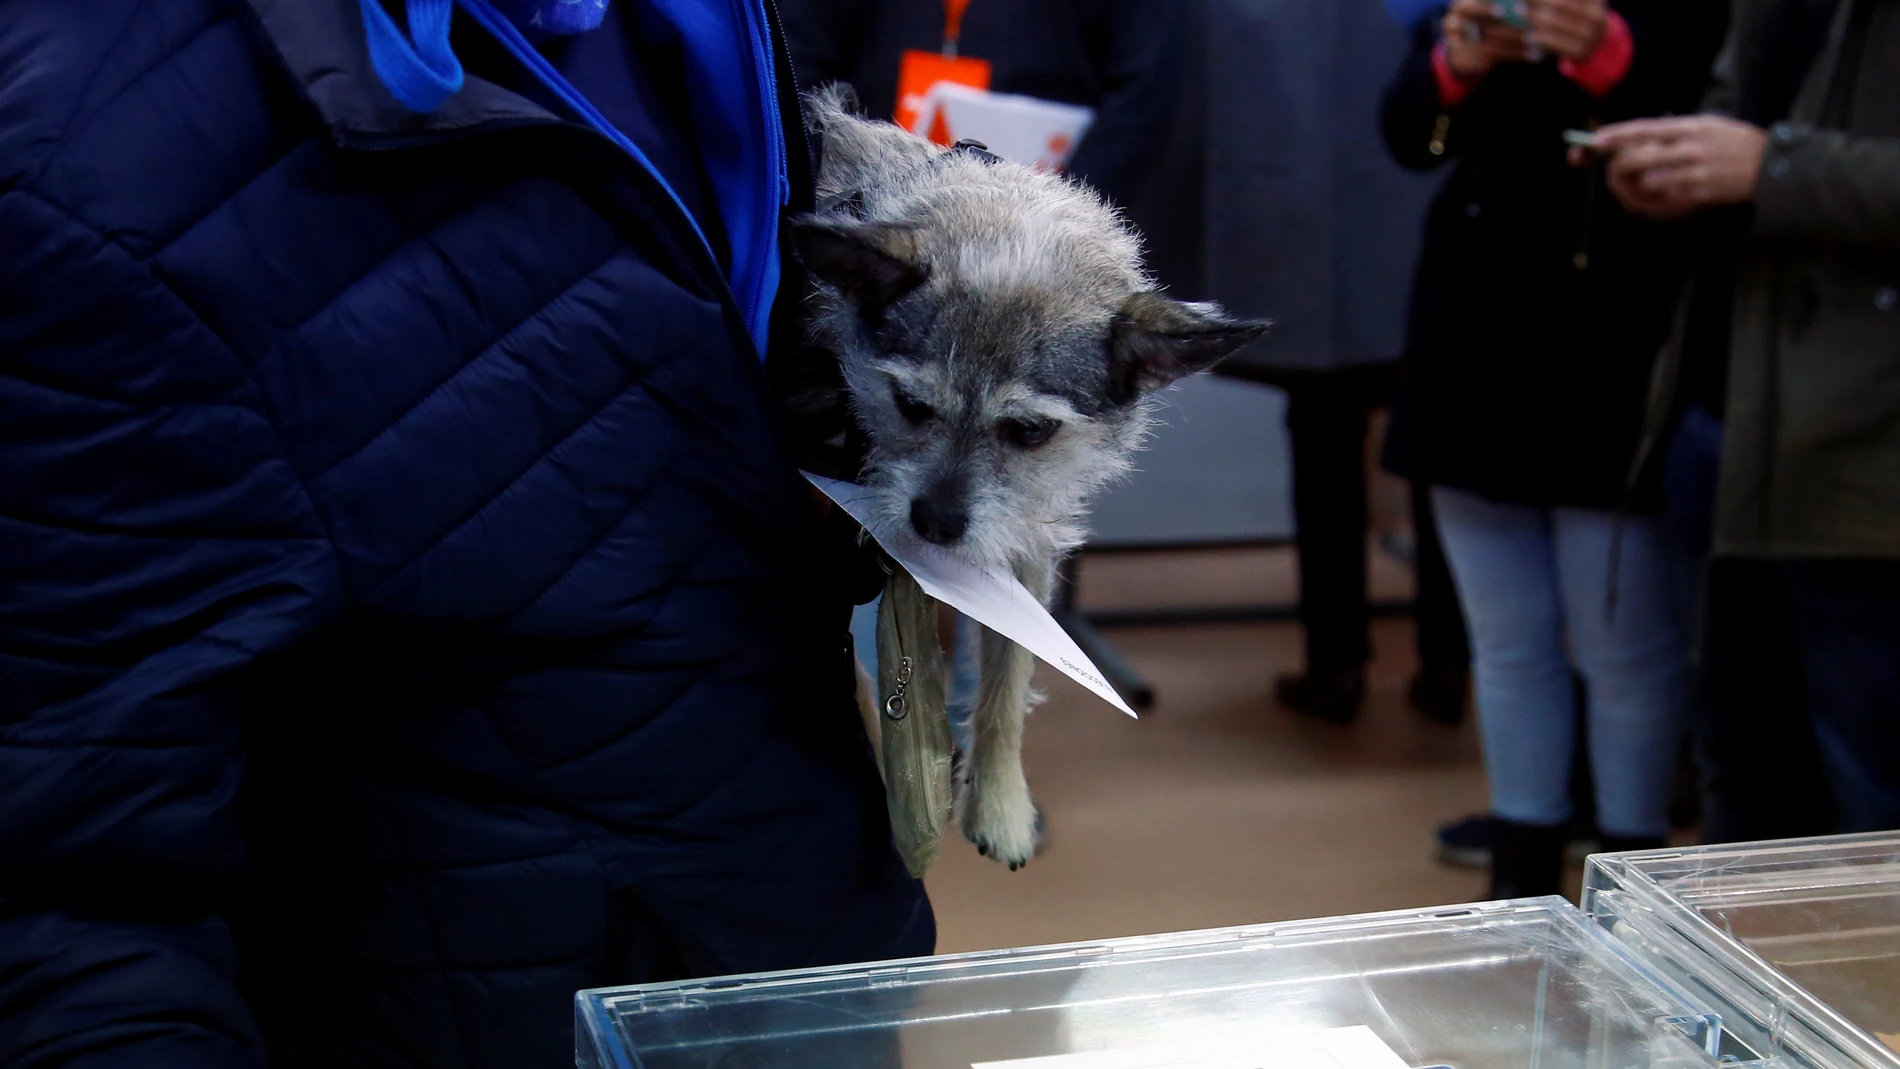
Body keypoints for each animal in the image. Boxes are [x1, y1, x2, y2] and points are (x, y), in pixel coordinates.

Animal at [794, 92, 1269, 869]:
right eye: (910, 406)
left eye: (1030, 432)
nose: (935, 522)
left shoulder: (1025, 546)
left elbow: (1009, 679)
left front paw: (998, 799)